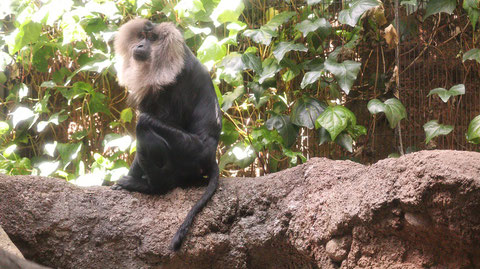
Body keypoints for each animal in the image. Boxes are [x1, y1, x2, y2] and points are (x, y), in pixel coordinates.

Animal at [112, 18, 223, 249]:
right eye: (141, 36)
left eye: (151, 38)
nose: (140, 45)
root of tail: (211, 155)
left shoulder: (172, 83)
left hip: (191, 152)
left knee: (144, 124)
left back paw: (152, 187)